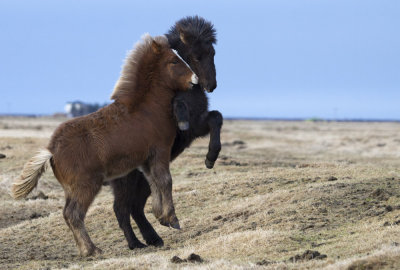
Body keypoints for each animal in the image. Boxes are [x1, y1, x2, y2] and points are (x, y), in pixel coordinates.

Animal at [11, 34, 199, 258]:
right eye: (173, 61)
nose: (195, 80)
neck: (146, 109)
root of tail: (52, 150)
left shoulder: (145, 160)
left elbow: (153, 182)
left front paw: (160, 216)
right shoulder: (160, 151)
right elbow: (165, 181)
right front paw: (172, 219)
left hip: (72, 189)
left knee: (67, 214)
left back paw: (85, 250)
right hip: (86, 186)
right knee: (74, 214)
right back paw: (92, 249)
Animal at [109, 16, 222, 249]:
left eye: (212, 52)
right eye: (194, 55)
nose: (210, 85)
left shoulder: (198, 126)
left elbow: (216, 118)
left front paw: (210, 159)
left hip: (142, 181)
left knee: (135, 207)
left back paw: (155, 237)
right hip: (126, 180)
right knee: (121, 209)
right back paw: (136, 243)